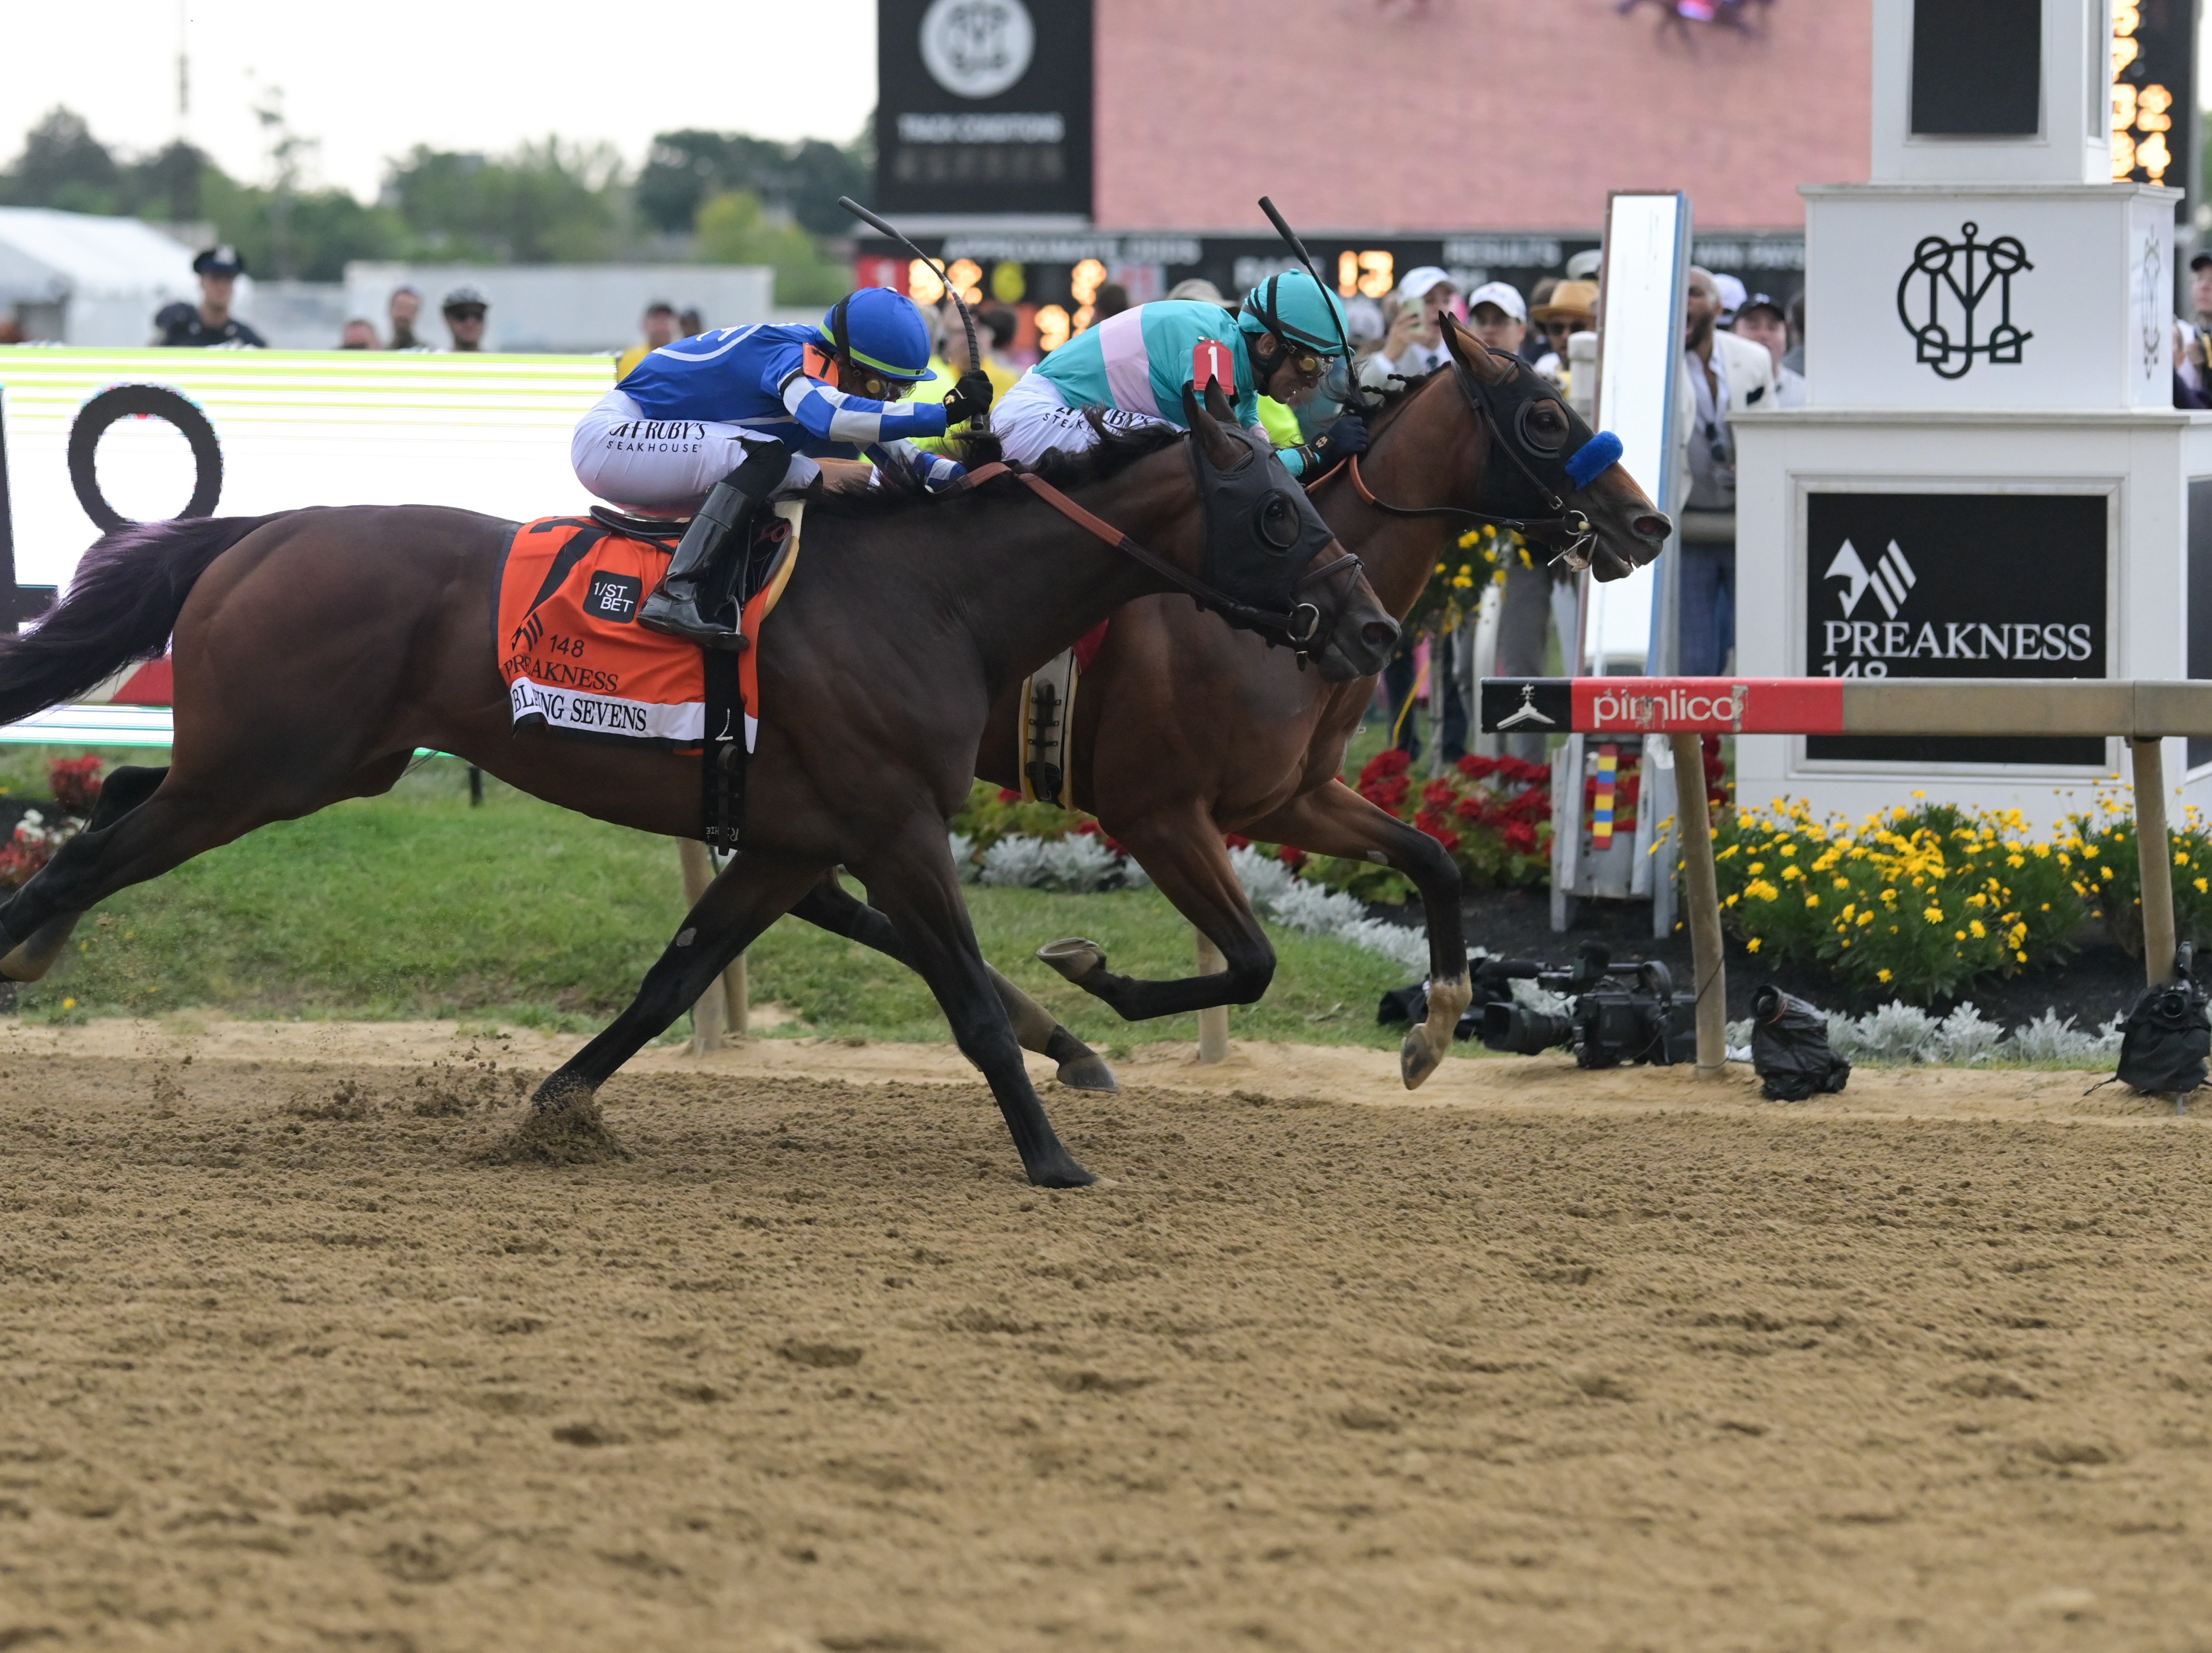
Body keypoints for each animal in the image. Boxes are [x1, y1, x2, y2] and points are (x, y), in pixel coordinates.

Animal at [0, 394, 1389, 1186]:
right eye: (1275, 513)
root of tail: (259, 531)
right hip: (265, 768)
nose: (1372, 631)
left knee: (114, 795)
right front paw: (1054, 1158)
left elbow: (669, 982)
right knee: (84, 855)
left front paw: (550, 1111)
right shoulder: (896, 827)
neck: (935, 599)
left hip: (307, 761)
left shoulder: (791, 841)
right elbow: (968, 1004)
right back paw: (27, 948)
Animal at [787, 316, 1663, 1093]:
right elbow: (1252, 961)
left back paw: (1060, 1040)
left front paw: (1434, 1028)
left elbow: (1433, 860)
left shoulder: (1287, 799)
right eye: (1545, 417)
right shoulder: (1157, 813)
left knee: (825, 894)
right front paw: (1095, 970)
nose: (1648, 523)